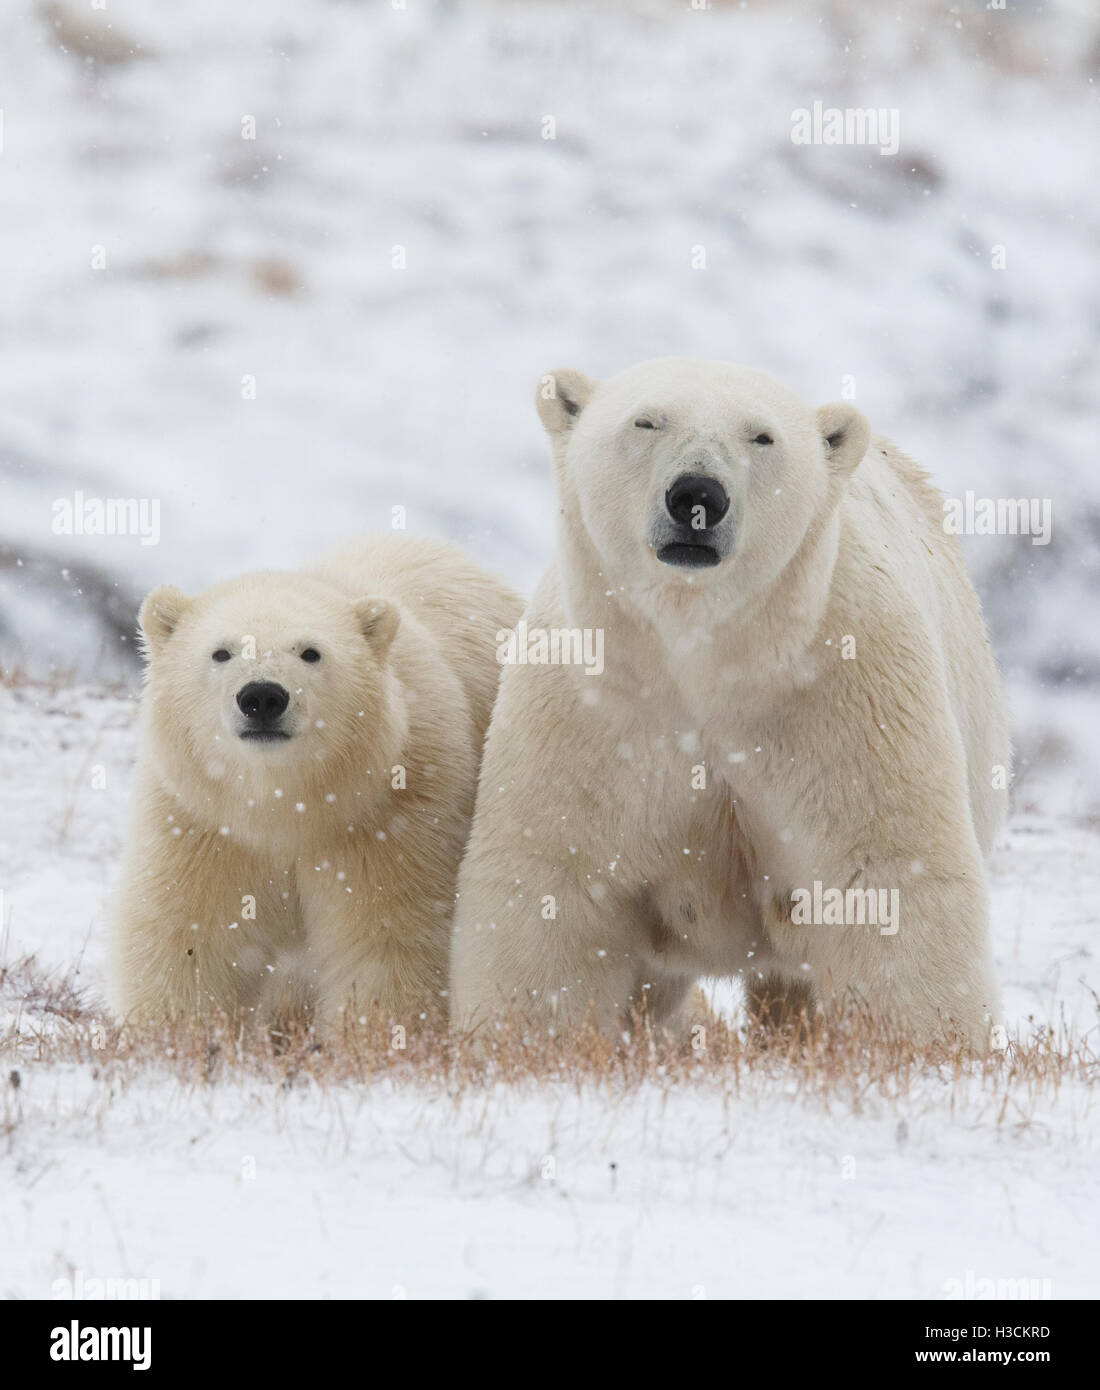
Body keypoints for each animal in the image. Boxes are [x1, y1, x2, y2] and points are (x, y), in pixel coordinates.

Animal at [114, 536, 522, 1039]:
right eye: (221, 652)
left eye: (310, 652)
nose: (262, 697)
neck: (285, 807)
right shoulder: (203, 823)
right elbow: (193, 935)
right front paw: (179, 1039)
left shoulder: (388, 817)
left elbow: (386, 938)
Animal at [450, 355, 1012, 1045]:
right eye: (646, 421)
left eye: (762, 436)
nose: (697, 496)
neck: (703, 650)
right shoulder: (590, 703)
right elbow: (552, 881)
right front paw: (520, 1043)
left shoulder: (841, 687)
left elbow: (883, 872)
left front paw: (926, 1047)